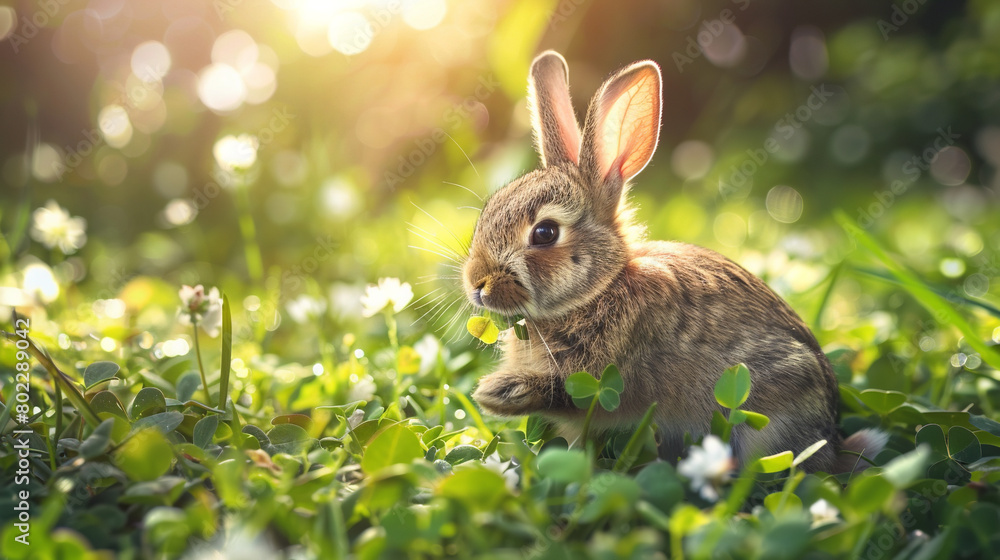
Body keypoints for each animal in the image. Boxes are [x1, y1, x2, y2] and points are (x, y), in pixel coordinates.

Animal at [462, 50, 885, 473]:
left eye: (545, 233)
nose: (476, 283)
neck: (602, 287)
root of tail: (831, 441)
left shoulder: (608, 374)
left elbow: (570, 394)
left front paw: (494, 392)